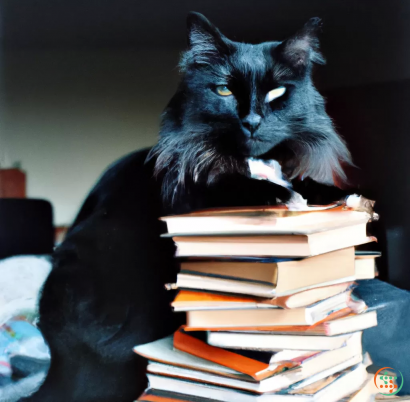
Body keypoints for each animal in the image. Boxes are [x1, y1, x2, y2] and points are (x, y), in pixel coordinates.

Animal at [24, 12, 352, 402]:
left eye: (277, 93)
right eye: (224, 90)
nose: (252, 121)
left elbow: (303, 181)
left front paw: (337, 193)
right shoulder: (188, 192)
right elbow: (238, 186)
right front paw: (279, 194)